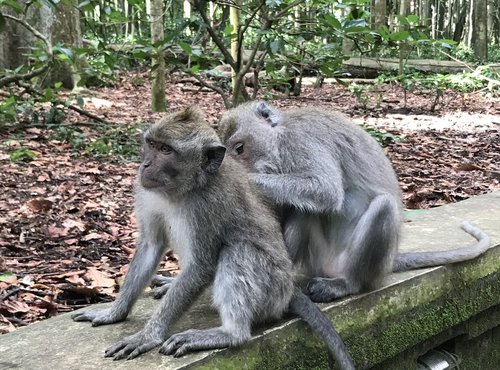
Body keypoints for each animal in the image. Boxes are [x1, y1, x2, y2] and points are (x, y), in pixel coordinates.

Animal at [71, 107, 356, 370]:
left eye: (166, 150)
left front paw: (147, 336)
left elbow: (202, 265)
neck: (183, 189)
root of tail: (289, 290)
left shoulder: (207, 205)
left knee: (238, 250)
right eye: (151, 145)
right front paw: (113, 313)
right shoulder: (146, 192)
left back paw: (230, 333)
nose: (145, 165)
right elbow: (150, 246)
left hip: (272, 290)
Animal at [219, 99, 492, 302]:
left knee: (383, 206)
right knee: (304, 209)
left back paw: (346, 284)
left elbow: (325, 189)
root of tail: (389, 261)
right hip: (318, 258)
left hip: (358, 264)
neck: (280, 135)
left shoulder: (302, 141)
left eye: (240, 149)